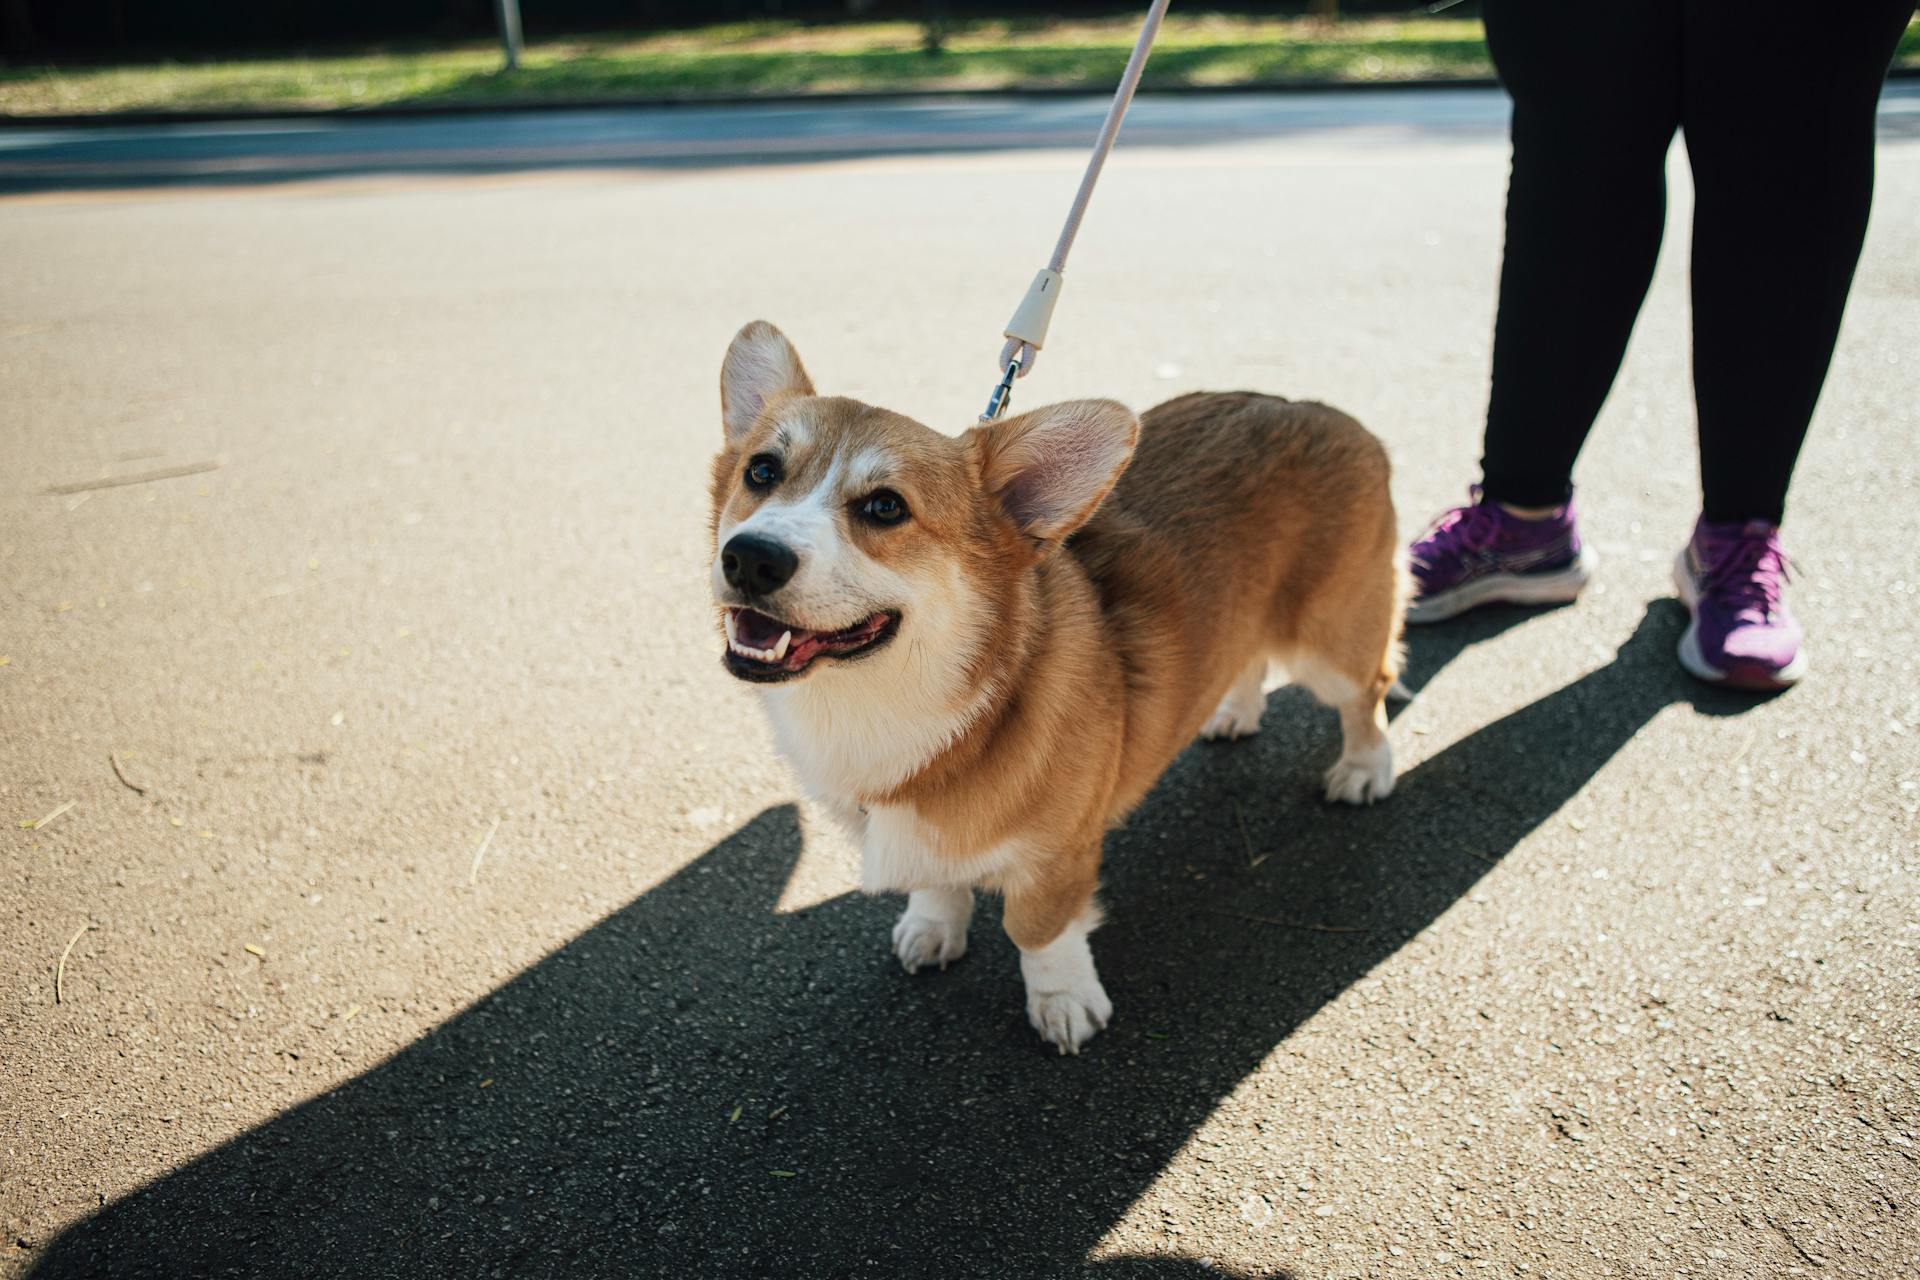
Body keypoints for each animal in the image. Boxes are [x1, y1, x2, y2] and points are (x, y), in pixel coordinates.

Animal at [714, 320, 1405, 1051]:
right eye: (762, 471)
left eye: (884, 507)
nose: (751, 558)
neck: (892, 704)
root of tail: (1318, 408)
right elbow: (936, 882)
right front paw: (932, 928)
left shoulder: (1058, 856)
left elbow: (1038, 932)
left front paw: (1065, 1002)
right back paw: (1232, 711)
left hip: (1331, 645)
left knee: (1368, 692)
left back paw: (1364, 769)